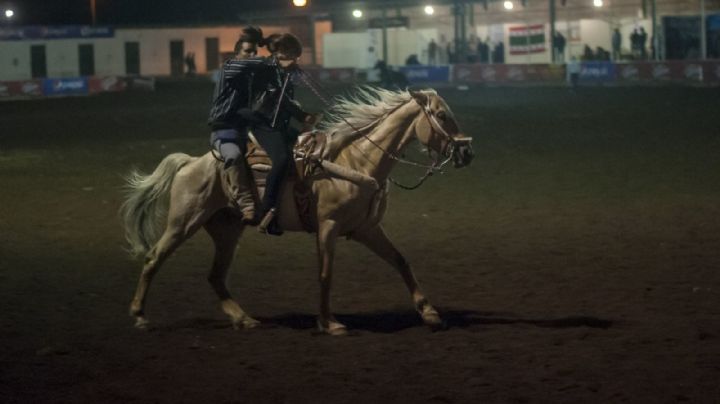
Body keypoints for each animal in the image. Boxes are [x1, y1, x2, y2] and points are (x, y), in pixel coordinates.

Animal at [120, 87, 474, 336]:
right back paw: (140, 317)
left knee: (216, 275)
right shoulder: (328, 226)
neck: (356, 161)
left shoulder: (365, 229)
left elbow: (401, 261)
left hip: (227, 229)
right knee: (153, 259)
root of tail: (191, 162)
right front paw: (329, 323)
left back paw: (244, 319)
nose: (467, 152)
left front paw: (430, 314)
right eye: (441, 115)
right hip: (184, 221)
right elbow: (325, 274)